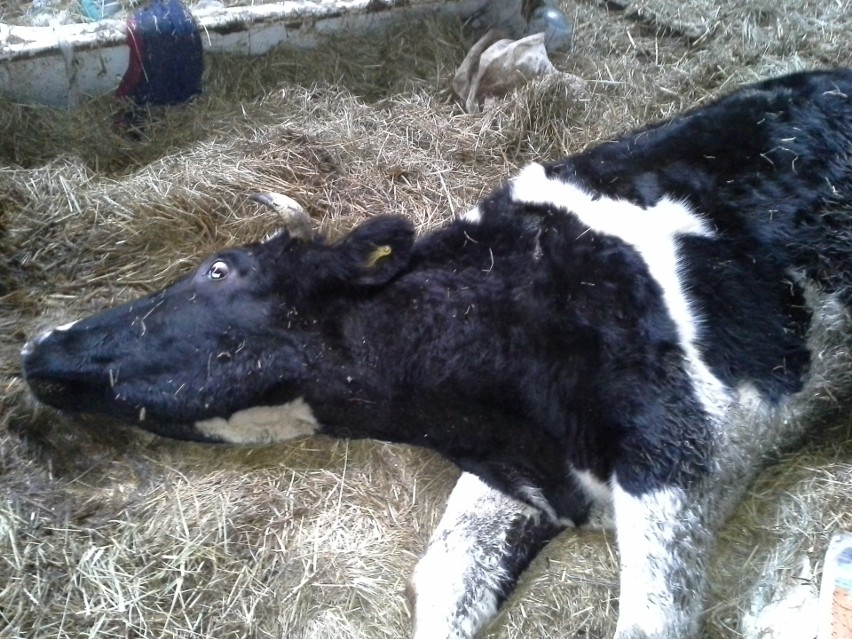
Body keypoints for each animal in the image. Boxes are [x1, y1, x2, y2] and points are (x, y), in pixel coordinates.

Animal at [20, 70, 852, 639]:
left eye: (219, 270)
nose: (37, 342)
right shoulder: (520, 478)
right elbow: (447, 577)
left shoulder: (678, 452)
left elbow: (652, 618)